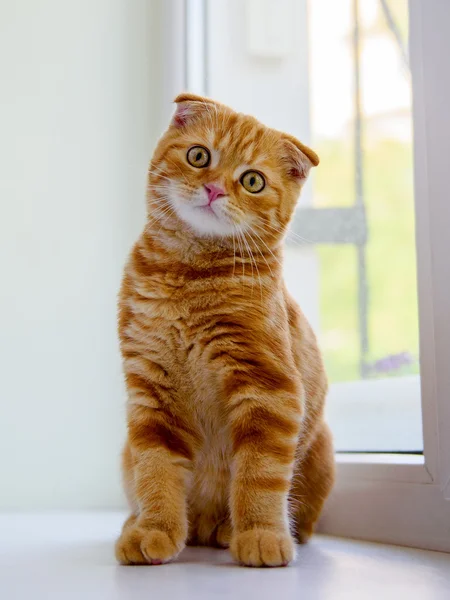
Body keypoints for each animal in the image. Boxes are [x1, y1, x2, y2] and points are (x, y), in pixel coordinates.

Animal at [116, 94, 334, 568]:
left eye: (252, 181)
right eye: (200, 156)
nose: (215, 189)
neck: (188, 275)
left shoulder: (269, 389)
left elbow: (260, 474)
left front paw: (259, 533)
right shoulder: (152, 395)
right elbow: (155, 471)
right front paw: (155, 529)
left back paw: (227, 528)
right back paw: (139, 524)